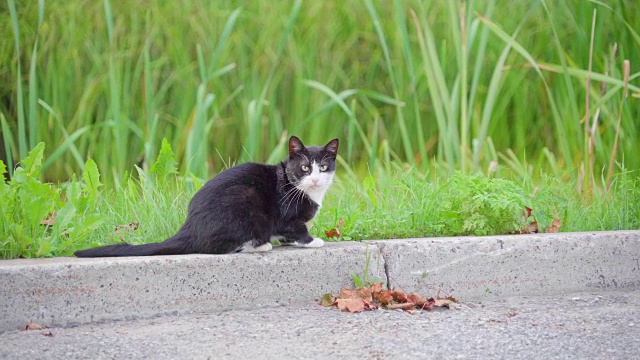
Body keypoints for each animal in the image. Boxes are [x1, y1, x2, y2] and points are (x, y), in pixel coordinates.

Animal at [72, 135, 338, 256]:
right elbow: (296, 228)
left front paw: (289, 241)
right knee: (217, 247)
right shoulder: (287, 215)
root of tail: (190, 226)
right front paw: (313, 241)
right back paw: (259, 245)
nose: (315, 178)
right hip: (245, 204)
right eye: (305, 168)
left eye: (323, 168)